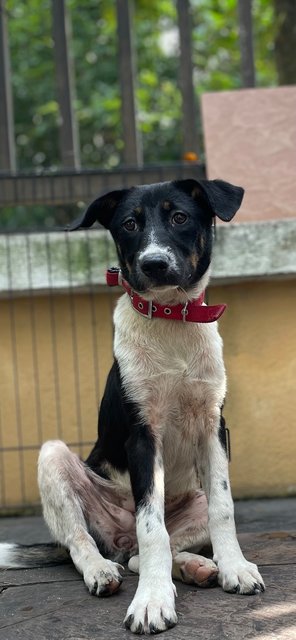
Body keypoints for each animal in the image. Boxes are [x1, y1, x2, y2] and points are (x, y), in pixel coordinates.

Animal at [0, 178, 264, 632]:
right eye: (129, 224)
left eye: (179, 217)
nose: (154, 263)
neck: (172, 322)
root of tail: (118, 539)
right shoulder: (143, 434)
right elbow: (151, 526)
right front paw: (152, 602)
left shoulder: (213, 426)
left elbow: (224, 508)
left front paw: (235, 568)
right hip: (55, 460)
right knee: (90, 542)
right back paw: (102, 570)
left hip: (193, 499)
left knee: (144, 553)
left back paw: (196, 566)